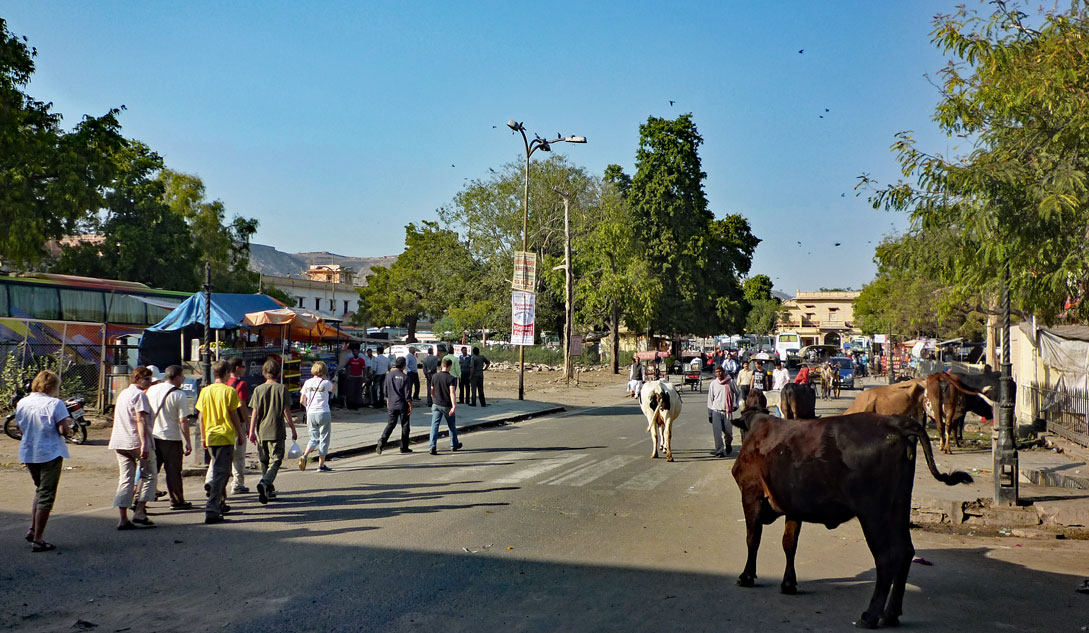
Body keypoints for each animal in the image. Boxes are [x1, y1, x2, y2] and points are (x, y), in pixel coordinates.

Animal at [731, 408, 973, 628]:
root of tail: (895, 422)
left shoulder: (750, 494)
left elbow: (753, 538)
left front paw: (746, 576)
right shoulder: (792, 506)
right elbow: (789, 544)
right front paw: (789, 583)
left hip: (874, 513)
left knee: (887, 557)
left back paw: (871, 616)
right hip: (900, 506)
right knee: (906, 552)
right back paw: (891, 614)